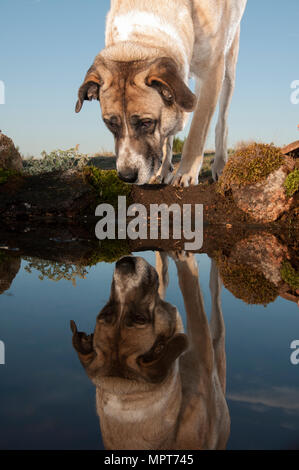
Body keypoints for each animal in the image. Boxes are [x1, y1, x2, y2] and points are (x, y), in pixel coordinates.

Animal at [75, 0, 248, 187]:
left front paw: (186, 173)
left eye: (147, 122)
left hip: (228, 66)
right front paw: (164, 169)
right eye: (110, 124)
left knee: (222, 120)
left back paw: (220, 164)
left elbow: (197, 132)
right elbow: (167, 135)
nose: (126, 177)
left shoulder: (212, 71)